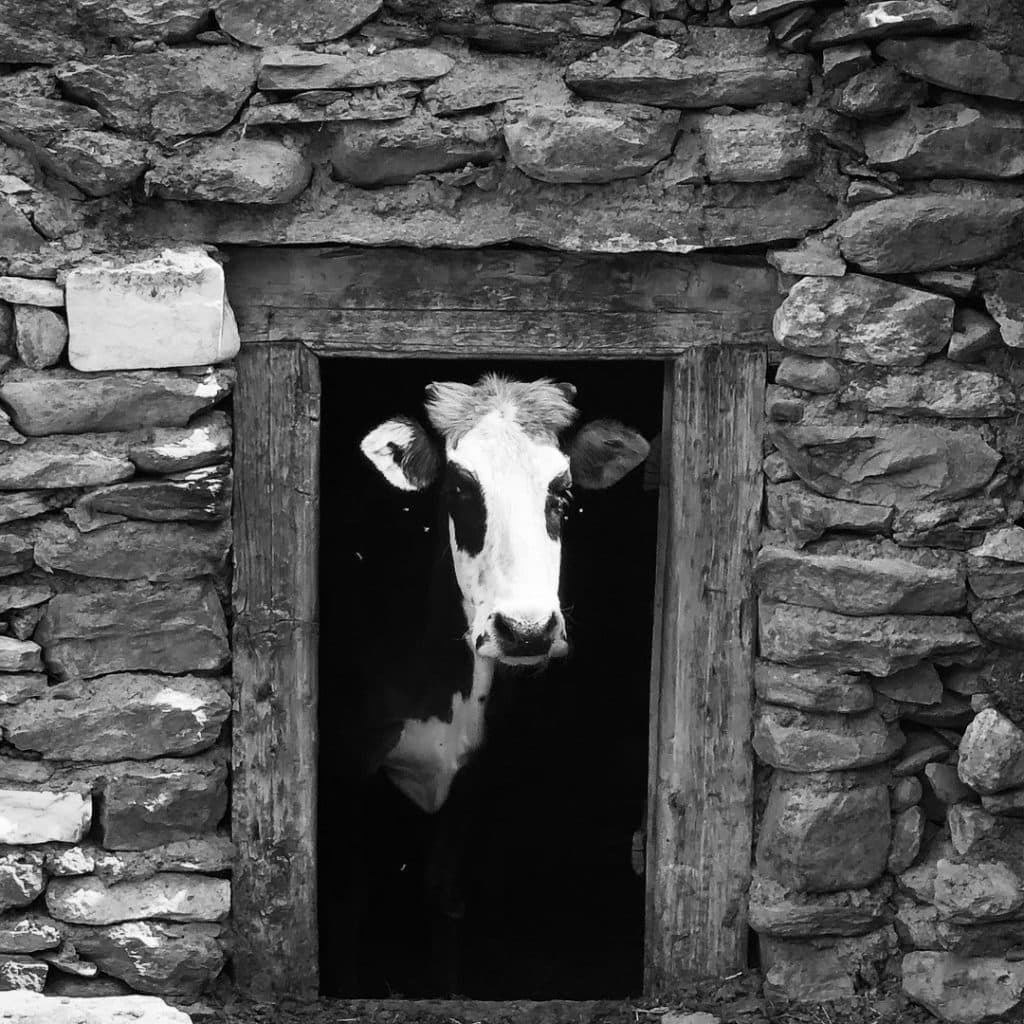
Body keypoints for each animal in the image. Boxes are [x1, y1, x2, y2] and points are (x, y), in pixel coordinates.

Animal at [336, 374, 649, 994]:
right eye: (461, 488)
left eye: (563, 493)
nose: (526, 630)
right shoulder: (351, 759)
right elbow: (352, 898)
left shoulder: (478, 762)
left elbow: (443, 892)